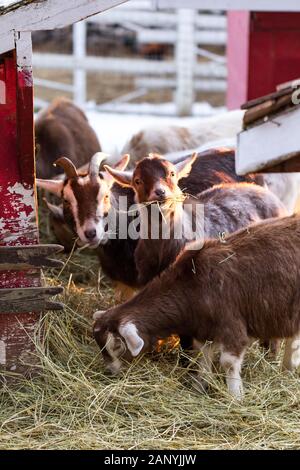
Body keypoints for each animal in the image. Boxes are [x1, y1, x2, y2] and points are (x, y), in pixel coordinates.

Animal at [94, 213, 300, 400]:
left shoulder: (231, 325)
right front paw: (200, 386)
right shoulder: (204, 330)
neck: (191, 283)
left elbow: (228, 362)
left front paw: (236, 397)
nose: (111, 371)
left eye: (117, 346)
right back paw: (287, 368)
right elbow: (202, 357)